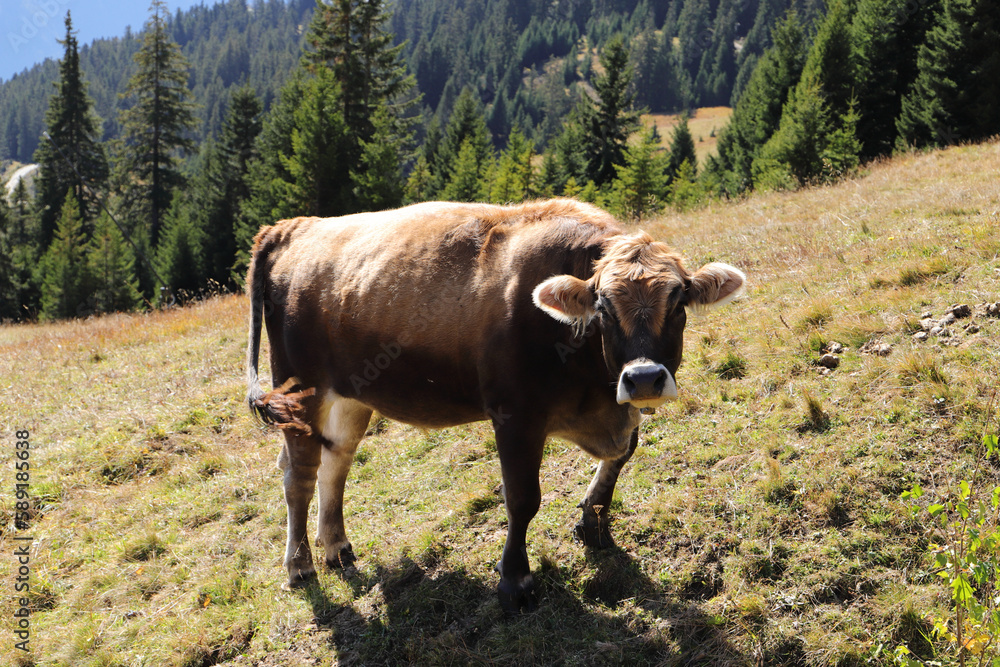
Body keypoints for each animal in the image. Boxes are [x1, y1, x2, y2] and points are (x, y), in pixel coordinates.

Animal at [245, 198, 745, 614]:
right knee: (299, 475)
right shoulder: (515, 416)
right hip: (299, 391)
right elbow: (523, 499)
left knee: (336, 462)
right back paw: (300, 566)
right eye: (602, 306)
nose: (643, 378)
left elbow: (622, 454)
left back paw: (337, 547)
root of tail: (293, 226)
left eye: (678, 303)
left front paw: (593, 522)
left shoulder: (617, 405)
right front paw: (515, 581)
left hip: (351, 394)